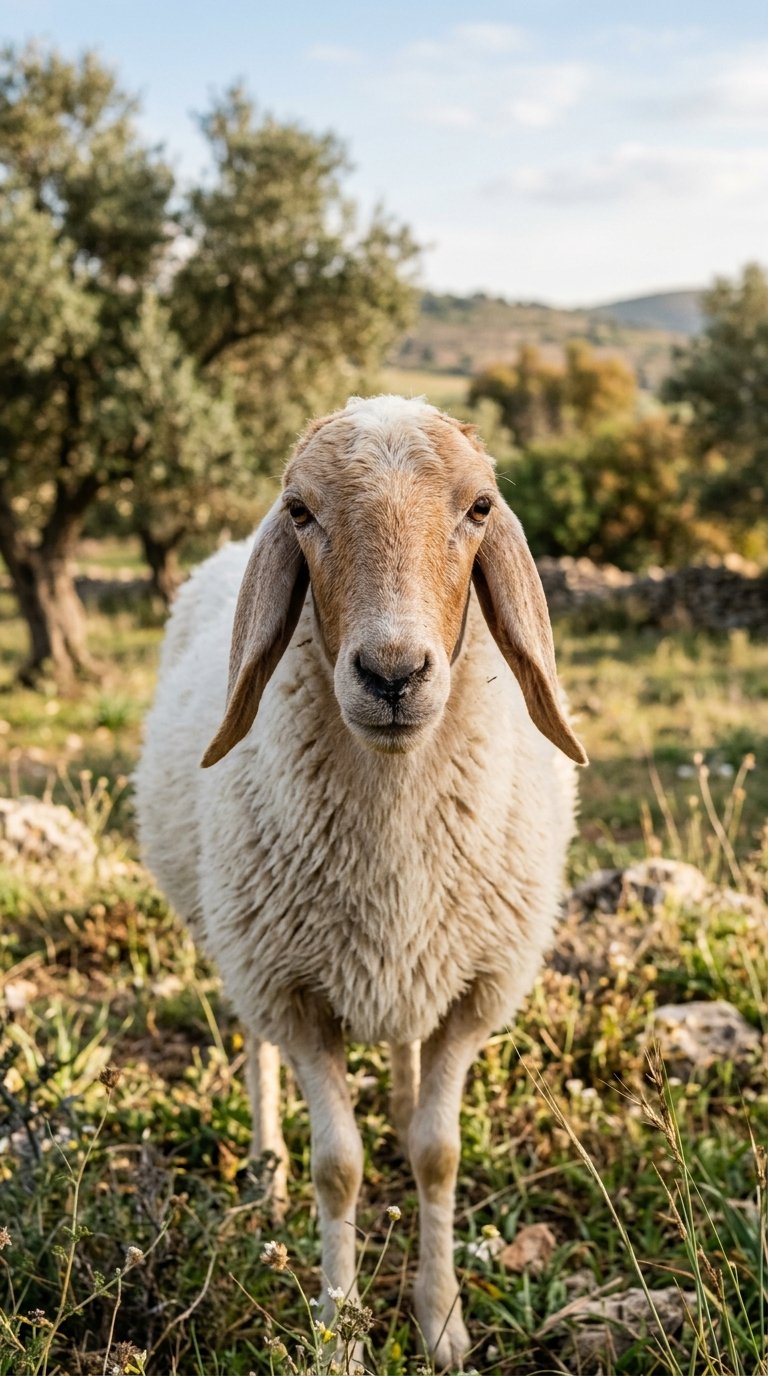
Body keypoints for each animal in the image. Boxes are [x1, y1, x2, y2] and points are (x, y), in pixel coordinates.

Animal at [135, 394, 587, 1370]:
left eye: (480, 507)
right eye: (301, 511)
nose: (392, 674)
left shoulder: (472, 991)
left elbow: (438, 1153)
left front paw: (442, 1321)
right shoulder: (294, 993)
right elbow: (337, 1167)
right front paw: (338, 1331)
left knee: (409, 1074)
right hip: (242, 945)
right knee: (257, 1056)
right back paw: (264, 1174)